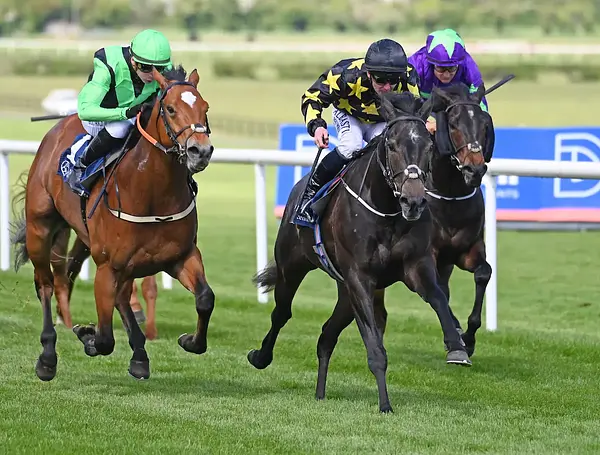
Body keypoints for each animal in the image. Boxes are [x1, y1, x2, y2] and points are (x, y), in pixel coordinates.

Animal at [10, 65, 215, 382]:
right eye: (170, 109)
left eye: (205, 108)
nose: (200, 151)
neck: (152, 193)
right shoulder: (107, 266)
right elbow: (105, 339)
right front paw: (86, 334)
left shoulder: (181, 256)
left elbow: (205, 298)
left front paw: (189, 341)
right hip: (40, 228)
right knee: (45, 284)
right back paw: (47, 357)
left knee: (120, 295)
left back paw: (140, 355)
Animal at [248, 92, 470, 413]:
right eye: (392, 145)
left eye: (428, 146)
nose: (413, 201)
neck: (387, 210)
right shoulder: (359, 278)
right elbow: (375, 347)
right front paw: (385, 404)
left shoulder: (415, 266)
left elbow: (439, 298)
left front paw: (456, 347)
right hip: (293, 266)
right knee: (282, 313)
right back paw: (261, 356)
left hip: (345, 293)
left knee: (326, 335)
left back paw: (320, 393)